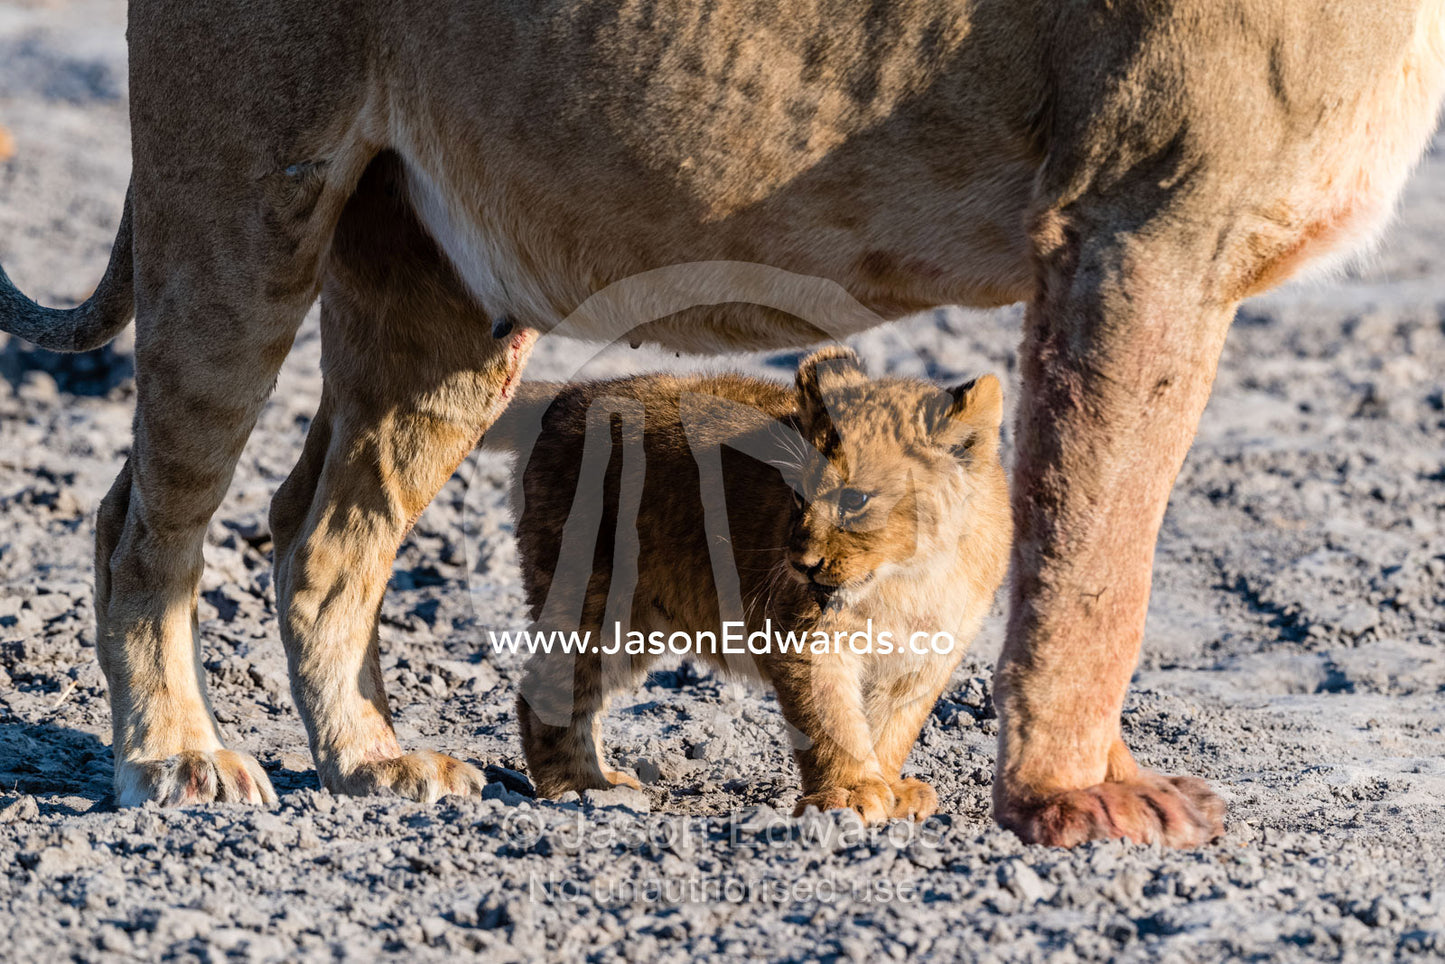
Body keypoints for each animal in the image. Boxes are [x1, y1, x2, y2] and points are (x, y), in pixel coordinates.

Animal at [479, 346, 1010, 823]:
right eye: (797, 496)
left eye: (855, 499)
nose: (801, 563)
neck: (910, 579)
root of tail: (568, 396)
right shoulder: (807, 638)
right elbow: (834, 721)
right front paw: (850, 795)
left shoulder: (926, 657)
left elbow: (889, 727)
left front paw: (889, 788)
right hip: (595, 594)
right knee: (546, 688)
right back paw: (582, 786)